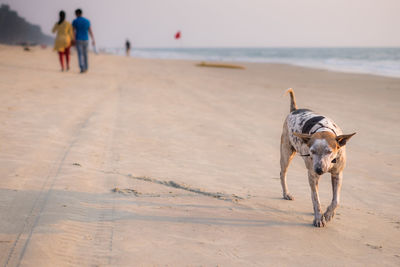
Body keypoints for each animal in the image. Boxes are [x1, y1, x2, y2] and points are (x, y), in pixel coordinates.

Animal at [280, 89, 354, 228]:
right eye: (312, 151)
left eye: (329, 151)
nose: (319, 170)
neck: (323, 129)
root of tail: (294, 110)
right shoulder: (312, 176)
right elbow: (316, 199)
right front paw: (319, 218)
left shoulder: (337, 173)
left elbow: (336, 200)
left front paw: (328, 214)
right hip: (286, 153)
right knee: (283, 174)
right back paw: (286, 193)